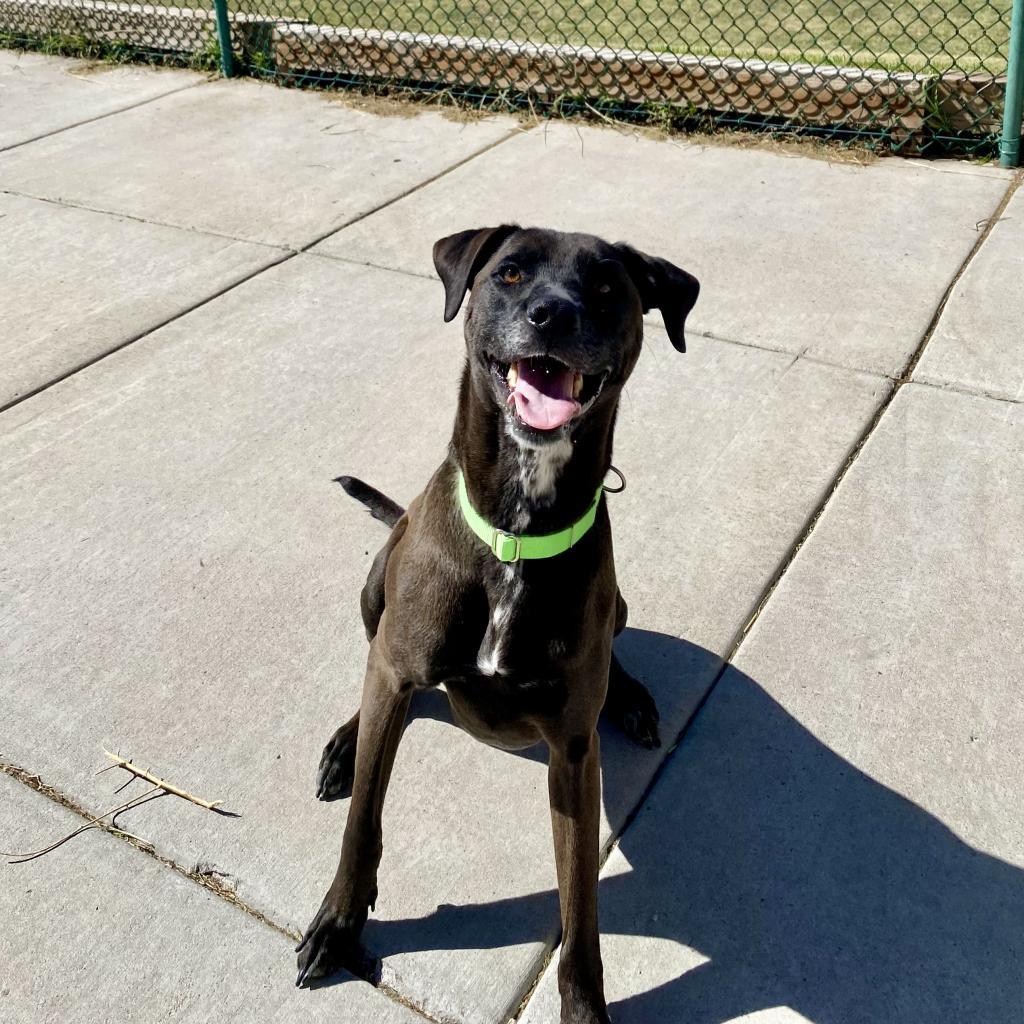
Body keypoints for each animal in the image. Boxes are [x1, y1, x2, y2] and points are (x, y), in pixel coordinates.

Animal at [292, 226, 700, 1024]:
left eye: (606, 286)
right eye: (510, 273)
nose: (552, 315)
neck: (515, 532)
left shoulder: (573, 752)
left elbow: (580, 909)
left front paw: (584, 1007)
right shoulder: (398, 665)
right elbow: (364, 824)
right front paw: (340, 923)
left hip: (619, 605)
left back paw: (630, 697)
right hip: (375, 587)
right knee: (378, 679)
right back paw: (347, 743)